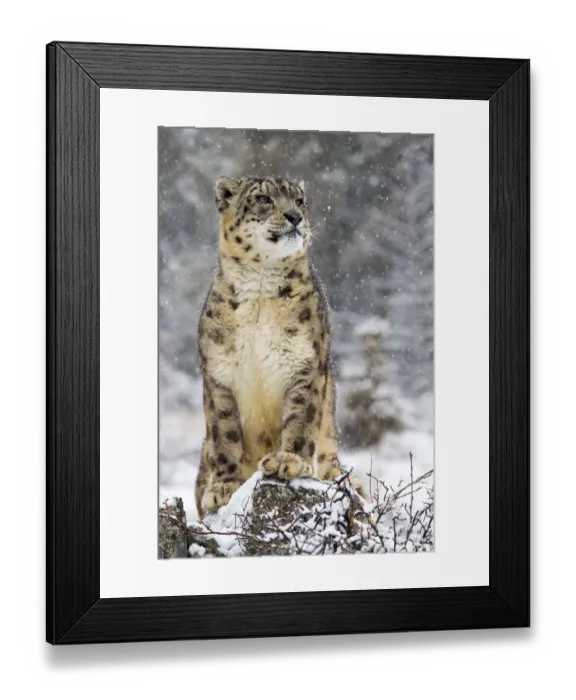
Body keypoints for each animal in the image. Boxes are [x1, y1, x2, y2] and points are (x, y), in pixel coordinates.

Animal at [194, 175, 354, 518]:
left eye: (300, 200)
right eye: (264, 199)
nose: (295, 216)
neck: (260, 285)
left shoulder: (306, 365)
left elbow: (301, 418)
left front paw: (288, 461)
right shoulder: (217, 374)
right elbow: (225, 433)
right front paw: (224, 486)